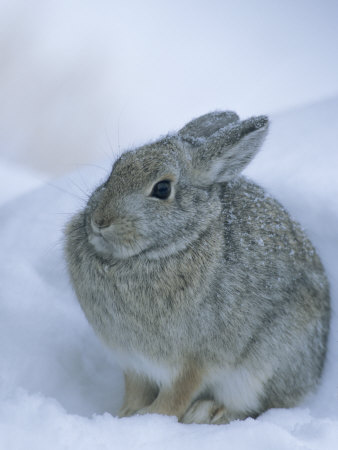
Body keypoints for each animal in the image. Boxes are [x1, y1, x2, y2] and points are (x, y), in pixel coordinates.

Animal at [65, 110, 330, 424]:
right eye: (115, 169)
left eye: (162, 188)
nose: (100, 220)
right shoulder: (133, 361)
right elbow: (135, 389)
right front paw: (125, 415)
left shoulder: (195, 358)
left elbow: (177, 395)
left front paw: (151, 417)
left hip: (266, 364)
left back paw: (207, 412)